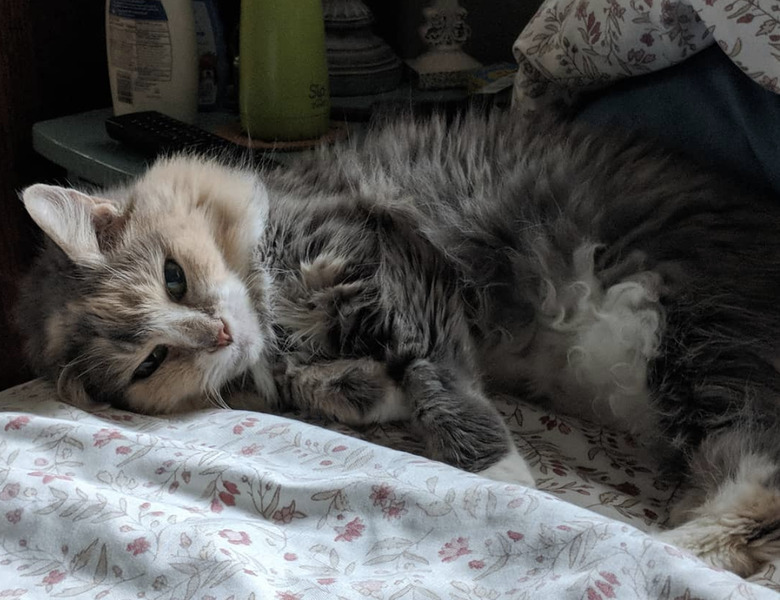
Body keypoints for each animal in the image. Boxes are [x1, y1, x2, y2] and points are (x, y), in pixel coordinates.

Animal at [16, 110, 780, 580]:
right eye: (150, 361)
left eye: (173, 279)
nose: (220, 333)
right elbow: (349, 388)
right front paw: (361, 391)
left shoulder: (390, 265)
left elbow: (440, 386)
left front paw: (505, 476)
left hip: (700, 340)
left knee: (756, 488)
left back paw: (654, 545)